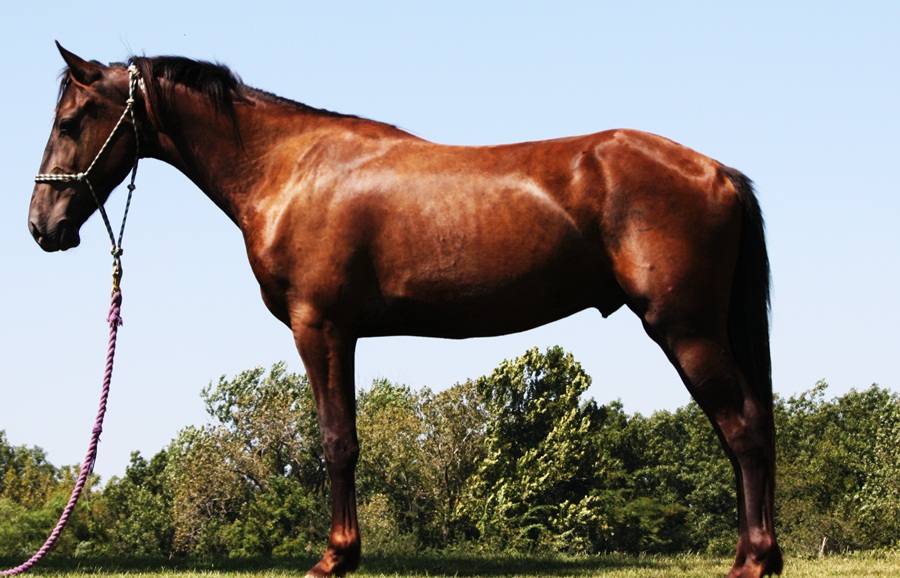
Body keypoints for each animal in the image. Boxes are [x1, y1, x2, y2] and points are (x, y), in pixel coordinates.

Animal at [29, 43, 782, 578]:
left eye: (71, 120)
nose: (42, 226)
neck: (288, 170)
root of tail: (719, 173)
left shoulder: (321, 327)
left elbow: (336, 441)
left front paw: (334, 558)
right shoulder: (344, 332)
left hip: (684, 330)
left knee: (743, 429)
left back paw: (750, 562)